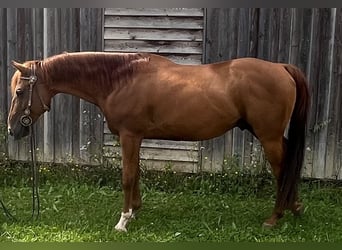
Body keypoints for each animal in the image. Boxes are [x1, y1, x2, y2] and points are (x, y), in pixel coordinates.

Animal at [6, 51, 310, 231]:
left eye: (20, 91)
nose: (12, 129)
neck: (120, 79)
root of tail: (281, 68)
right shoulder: (136, 137)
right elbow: (137, 173)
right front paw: (135, 212)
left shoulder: (129, 135)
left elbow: (127, 176)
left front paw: (123, 221)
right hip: (271, 136)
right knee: (288, 165)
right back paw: (295, 208)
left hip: (268, 137)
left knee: (282, 170)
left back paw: (275, 217)